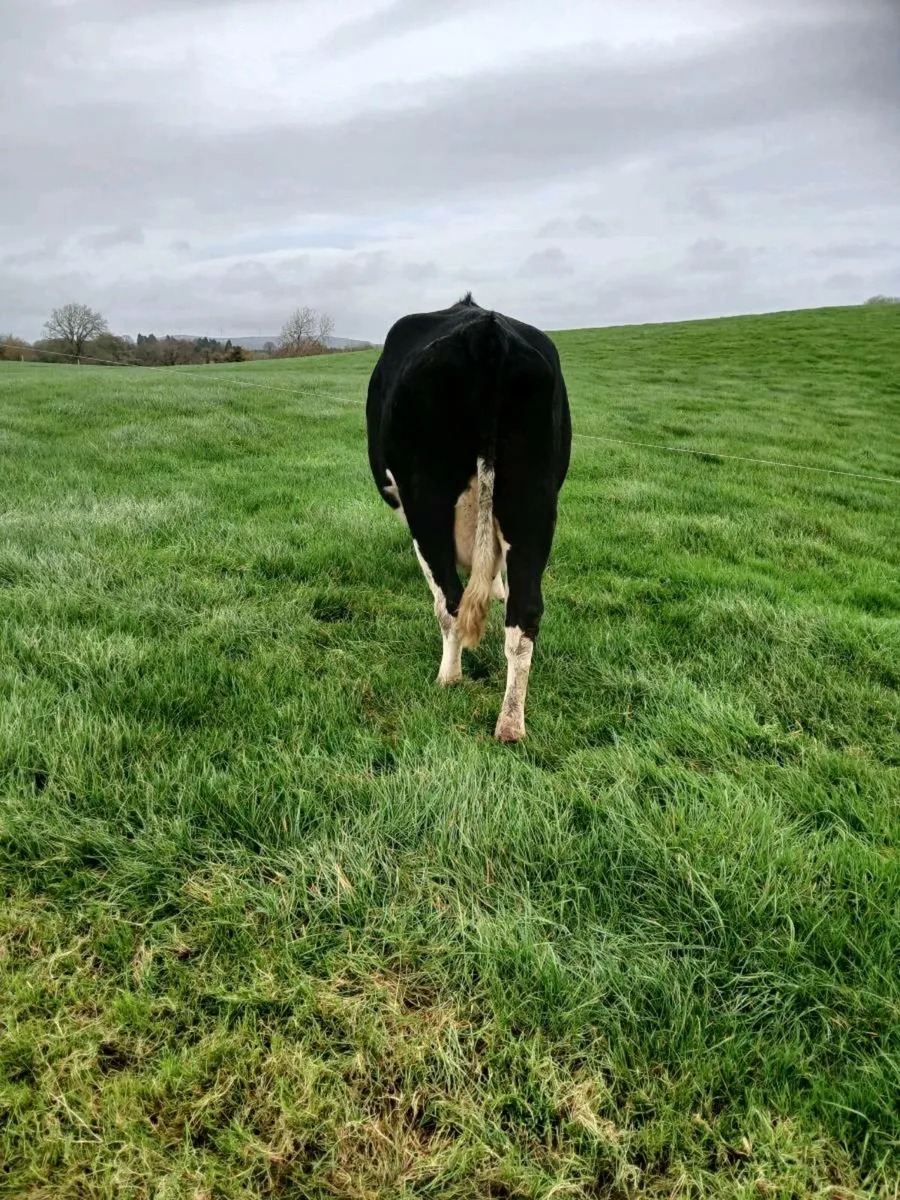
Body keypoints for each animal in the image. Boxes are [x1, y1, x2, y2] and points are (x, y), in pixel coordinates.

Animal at [366, 293, 571, 741]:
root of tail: (486, 332)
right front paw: (495, 588)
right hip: (533, 500)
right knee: (524, 612)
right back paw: (510, 723)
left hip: (427, 504)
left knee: (451, 602)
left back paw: (449, 677)